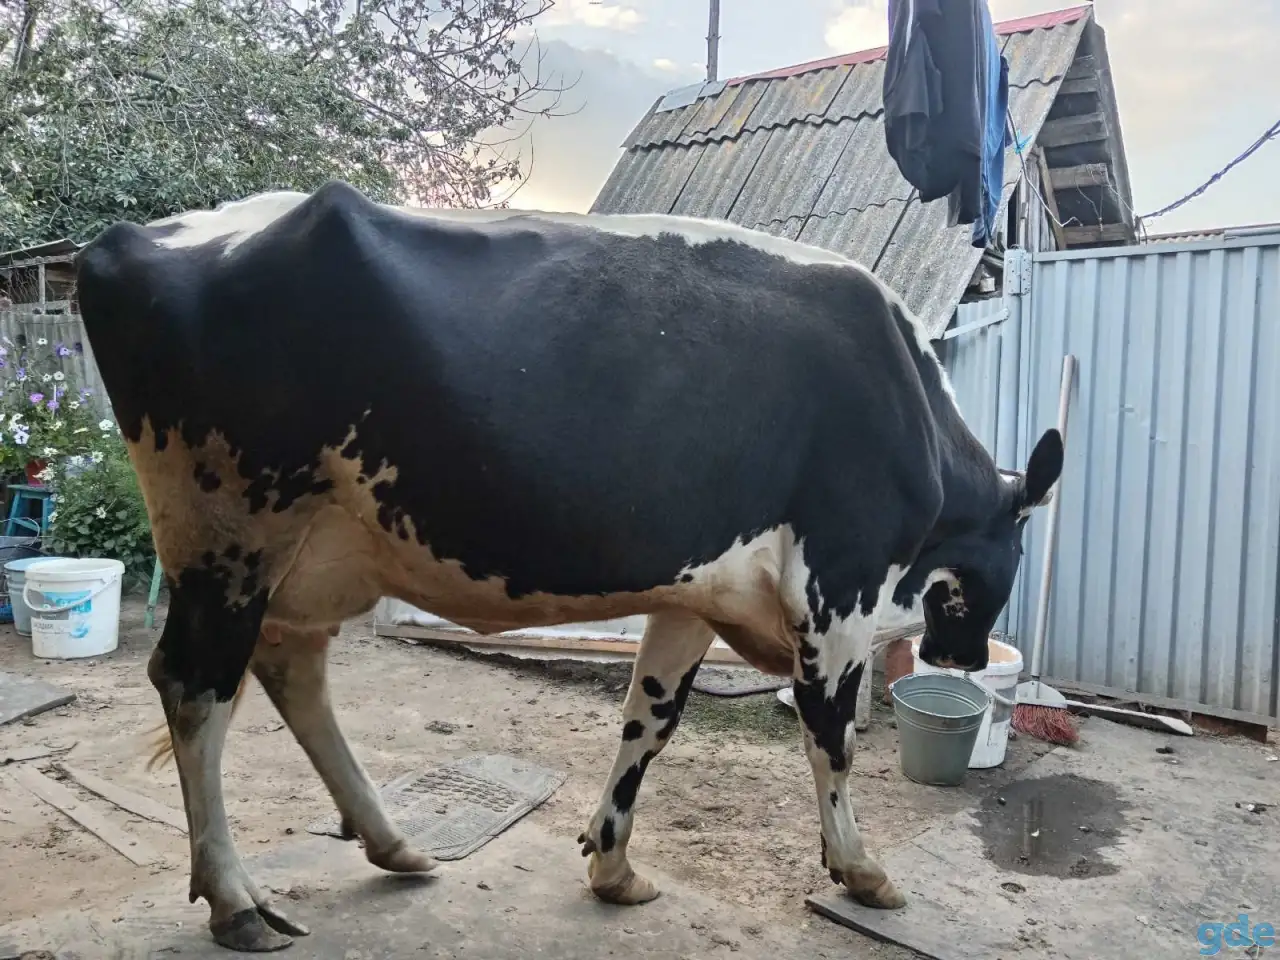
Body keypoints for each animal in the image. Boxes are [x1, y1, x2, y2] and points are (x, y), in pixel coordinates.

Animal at [74, 180, 1062, 953]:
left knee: (292, 672)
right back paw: (236, 900)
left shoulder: (694, 594)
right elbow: (832, 737)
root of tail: (127, 240)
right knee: (195, 685)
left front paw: (613, 865)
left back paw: (393, 843)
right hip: (229, 535)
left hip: (307, 550)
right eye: (1016, 543)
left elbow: (648, 720)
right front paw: (861, 871)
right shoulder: (838, 585)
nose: (965, 658)